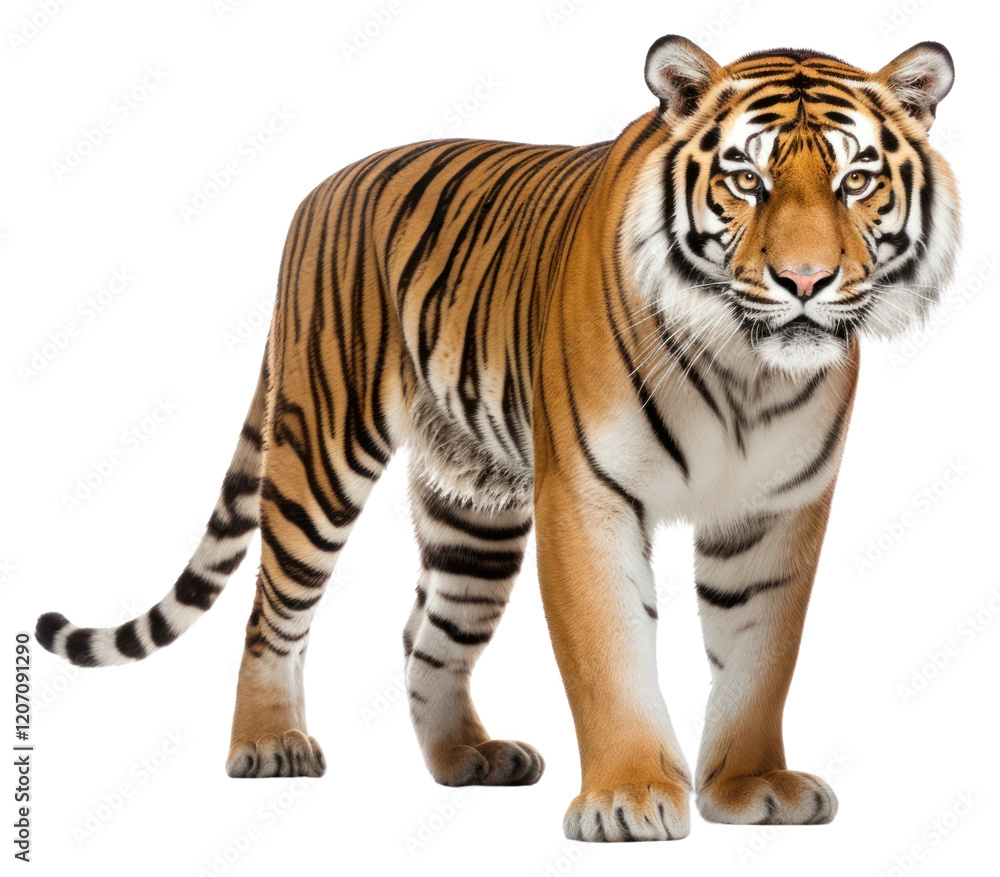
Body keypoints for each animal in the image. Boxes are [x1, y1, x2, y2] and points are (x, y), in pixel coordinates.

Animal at [35, 35, 959, 842]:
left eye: (855, 179)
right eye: (746, 178)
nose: (804, 280)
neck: (746, 366)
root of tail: (324, 185)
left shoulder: (776, 509)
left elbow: (762, 655)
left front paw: (751, 785)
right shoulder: (587, 494)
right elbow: (610, 652)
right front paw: (627, 798)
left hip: (471, 508)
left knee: (427, 635)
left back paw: (469, 756)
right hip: (320, 453)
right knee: (274, 608)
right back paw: (267, 742)